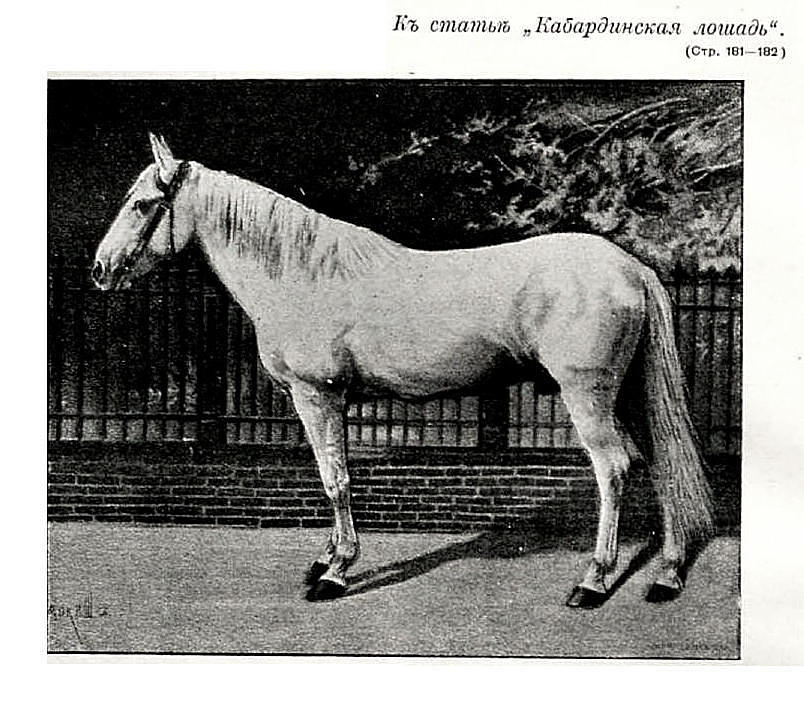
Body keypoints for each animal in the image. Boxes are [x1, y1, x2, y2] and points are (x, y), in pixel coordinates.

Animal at [91, 133, 714, 607]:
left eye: (144, 204)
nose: (100, 269)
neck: (302, 274)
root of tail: (631, 268)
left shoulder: (318, 396)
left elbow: (336, 480)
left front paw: (337, 572)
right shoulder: (325, 401)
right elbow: (333, 476)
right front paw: (324, 559)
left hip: (588, 396)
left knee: (615, 469)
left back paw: (593, 582)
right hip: (626, 394)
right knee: (661, 464)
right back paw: (667, 573)